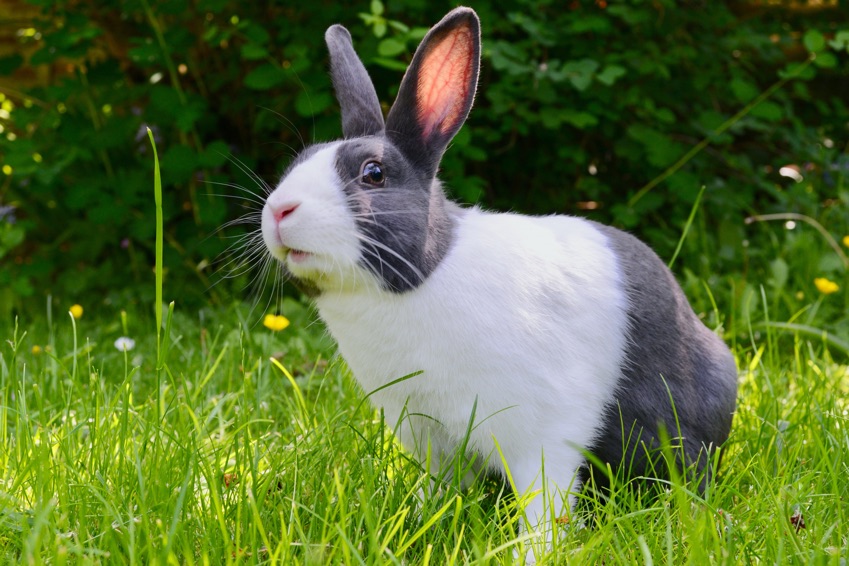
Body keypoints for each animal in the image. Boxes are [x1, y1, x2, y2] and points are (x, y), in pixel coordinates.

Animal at [258, 5, 736, 560]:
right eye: (298, 162)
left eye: (373, 173)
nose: (278, 210)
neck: (424, 277)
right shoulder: (429, 435)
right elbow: (438, 489)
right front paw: (416, 523)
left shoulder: (541, 431)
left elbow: (544, 502)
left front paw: (534, 553)